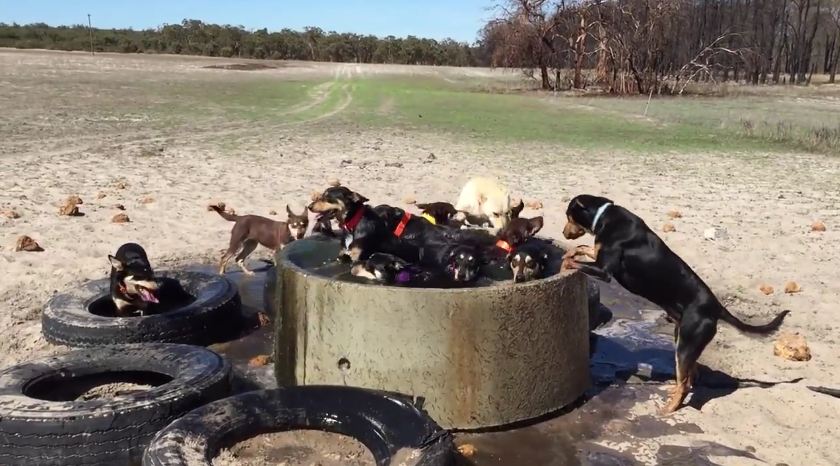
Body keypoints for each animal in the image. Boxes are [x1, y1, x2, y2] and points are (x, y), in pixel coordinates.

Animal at [560, 195, 792, 414]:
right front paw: (568, 254)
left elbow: (577, 262)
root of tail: (716, 307)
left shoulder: (604, 271)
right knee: (690, 376)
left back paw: (668, 409)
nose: (563, 233)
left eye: (568, 215)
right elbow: (582, 248)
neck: (604, 216)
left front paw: (565, 263)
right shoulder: (599, 256)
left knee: (685, 382)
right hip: (682, 340)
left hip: (685, 345)